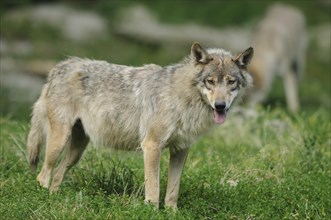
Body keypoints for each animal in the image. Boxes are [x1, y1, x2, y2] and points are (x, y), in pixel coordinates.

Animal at [26, 42, 254, 209]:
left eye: (231, 82)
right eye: (210, 81)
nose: (220, 105)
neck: (184, 98)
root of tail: (61, 66)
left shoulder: (180, 150)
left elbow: (173, 190)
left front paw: (172, 212)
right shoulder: (152, 146)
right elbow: (153, 186)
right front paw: (151, 210)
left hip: (77, 150)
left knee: (57, 174)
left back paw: (55, 199)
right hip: (58, 143)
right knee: (43, 174)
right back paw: (42, 198)